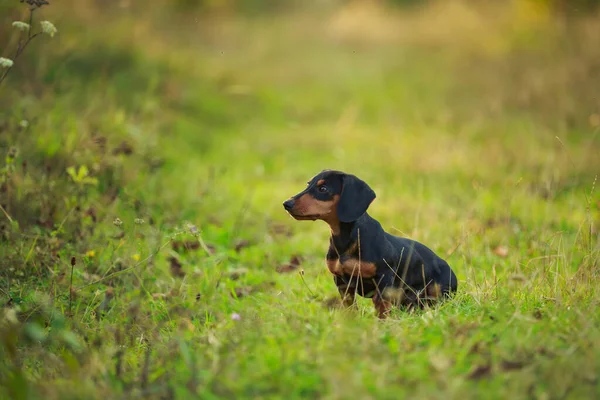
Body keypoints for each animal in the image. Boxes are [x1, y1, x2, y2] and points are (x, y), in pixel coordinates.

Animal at [284, 169, 458, 318]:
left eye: (323, 188)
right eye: (308, 184)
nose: (286, 204)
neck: (348, 238)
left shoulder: (384, 278)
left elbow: (381, 306)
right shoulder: (341, 282)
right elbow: (350, 306)